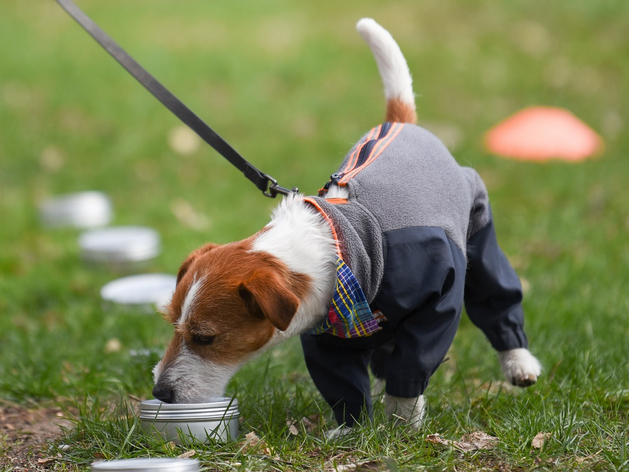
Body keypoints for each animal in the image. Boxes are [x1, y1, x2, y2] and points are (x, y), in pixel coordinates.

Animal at [152, 18, 540, 432]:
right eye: (172, 324)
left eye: (205, 337)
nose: (160, 392)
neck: (340, 243)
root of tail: (399, 123)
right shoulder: (327, 336)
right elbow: (342, 382)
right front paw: (350, 428)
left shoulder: (436, 302)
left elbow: (414, 362)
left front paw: (403, 422)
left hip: (479, 235)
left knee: (497, 301)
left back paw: (519, 364)